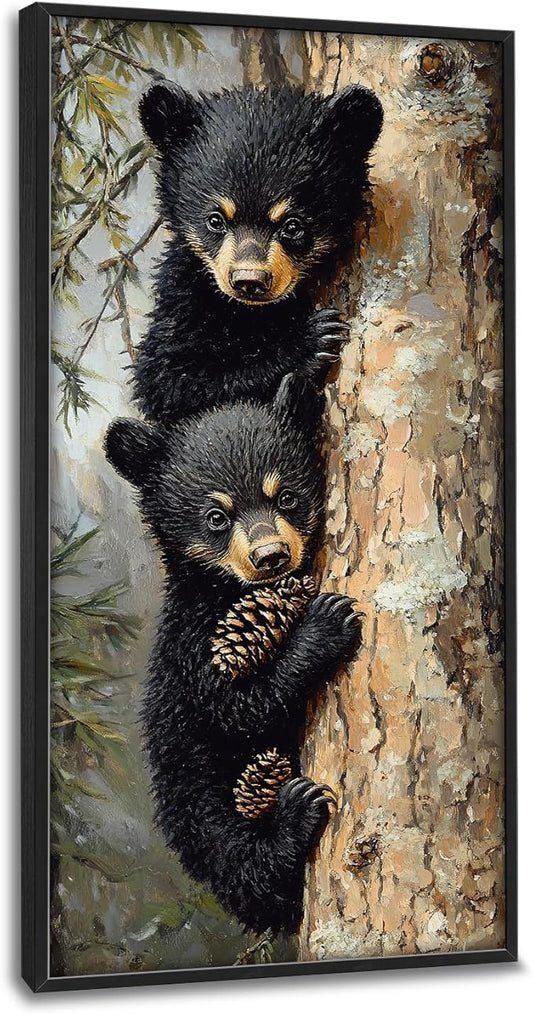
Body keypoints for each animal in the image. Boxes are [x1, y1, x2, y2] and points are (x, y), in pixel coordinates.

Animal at [104, 374, 362, 934]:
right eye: (216, 516)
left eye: (285, 495)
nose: (271, 557)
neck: (230, 594)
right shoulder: (193, 644)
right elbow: (237, 707)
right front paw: (325, 625)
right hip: (198, 808)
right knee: (242, 865)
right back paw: (292, 818)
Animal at [133, 81, 383, 424]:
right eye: (215, 220)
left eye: (293, 225)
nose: (249, 280)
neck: (252, 312)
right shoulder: (183, 294)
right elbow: (168, 378)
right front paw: (310, 339)